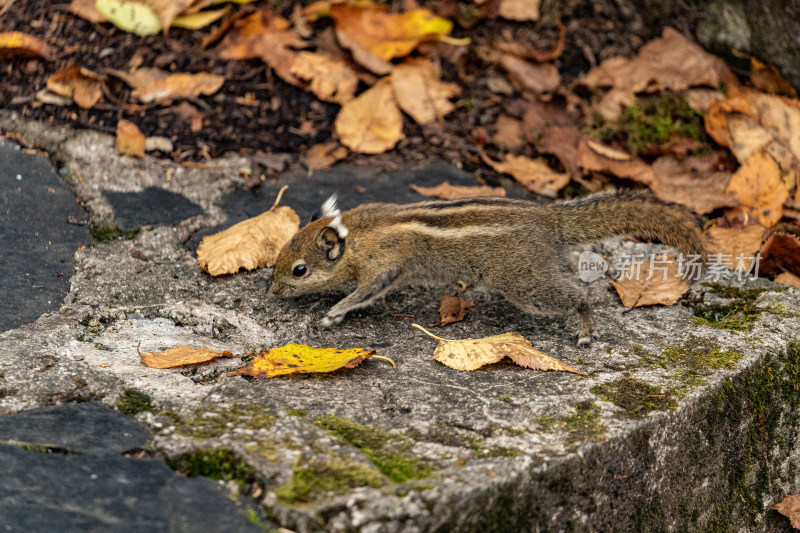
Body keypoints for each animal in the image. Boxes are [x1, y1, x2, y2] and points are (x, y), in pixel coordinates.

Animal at [270, 192, 708, 344]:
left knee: (579, 295)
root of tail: (549, 218)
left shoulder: (385, 266)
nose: (271, 291)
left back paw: (586, 330)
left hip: (528, 286)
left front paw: (334, 313)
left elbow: (365, 291)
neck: (357, 235)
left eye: (299, 270)